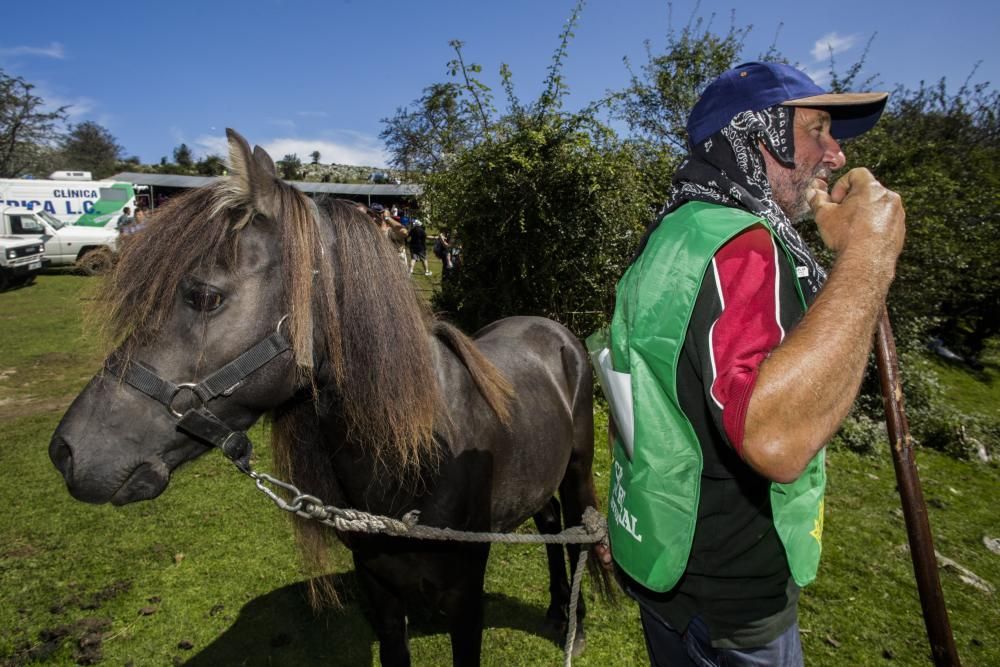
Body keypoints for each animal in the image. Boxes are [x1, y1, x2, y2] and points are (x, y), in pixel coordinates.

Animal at [50, 129, 604, 664]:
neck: (422, 452)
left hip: (577, 467)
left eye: (205, 296)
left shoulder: (466, 597)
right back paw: (557, 608)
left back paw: (574, 628)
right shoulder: (379, 591)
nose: (68, 451)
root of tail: (552, 329)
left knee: (576, 528)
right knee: (549, 522)